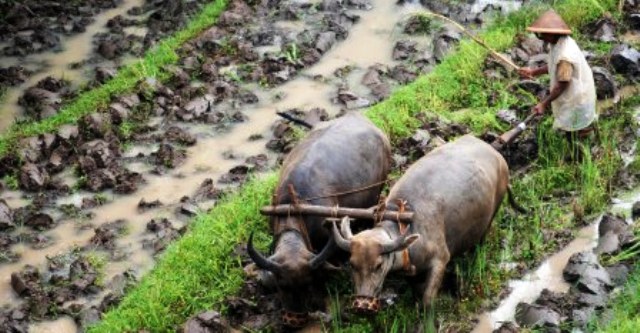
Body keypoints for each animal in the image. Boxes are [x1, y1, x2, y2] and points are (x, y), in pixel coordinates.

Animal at [332, 134, 524, 312]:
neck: (406, 223)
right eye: (352, 264)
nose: (362, 305)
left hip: (493, 213)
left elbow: (427, 301)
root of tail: (497, 155)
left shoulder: (441, 259)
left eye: (378, 265)